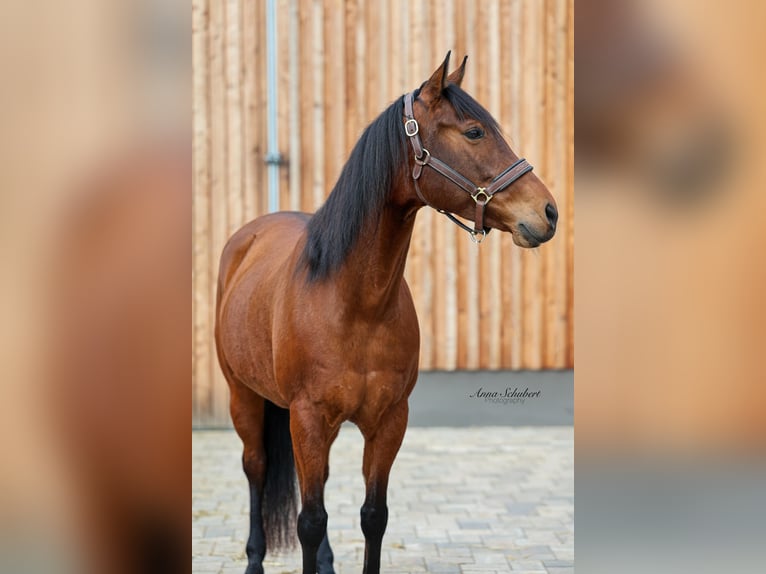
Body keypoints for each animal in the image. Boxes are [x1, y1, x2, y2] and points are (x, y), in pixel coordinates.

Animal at [214, 52, 557, 574]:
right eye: (475, 132)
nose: (548, 212)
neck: (358, 305)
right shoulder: (308, 417)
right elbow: (309, 520)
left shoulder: (390, 420)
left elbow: (373, 516)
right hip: (244, 398)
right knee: (256, 468)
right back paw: (255, 559)